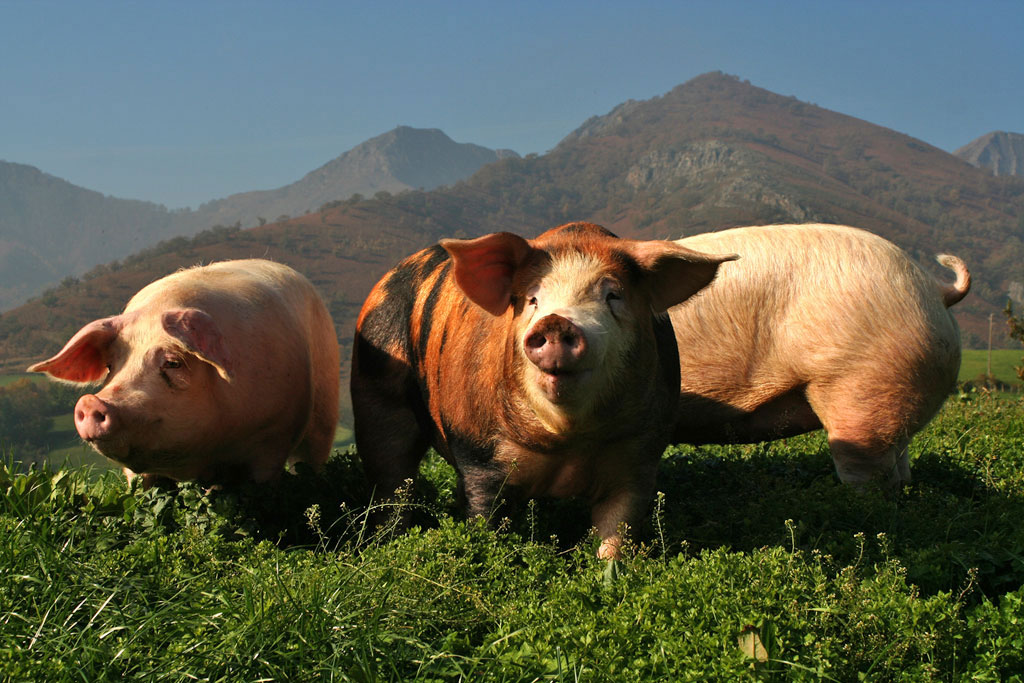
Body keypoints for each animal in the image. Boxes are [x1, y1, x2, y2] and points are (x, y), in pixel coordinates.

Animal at [28, 259, 340, 486]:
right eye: (110, 366)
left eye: (173, 363)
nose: (91, 402)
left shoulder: (274, 437)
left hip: (324, 413)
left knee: (311, 458)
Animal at [351, 222, 737, 558]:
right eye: (531, 299)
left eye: (613, 295)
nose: (556, 322)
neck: (567, 443)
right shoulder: (479, 456)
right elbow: (483, 521)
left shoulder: (640, 456)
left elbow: (617, 534)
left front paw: (608, 573)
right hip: (375, 398)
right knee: (391, 481)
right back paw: (385, 545)